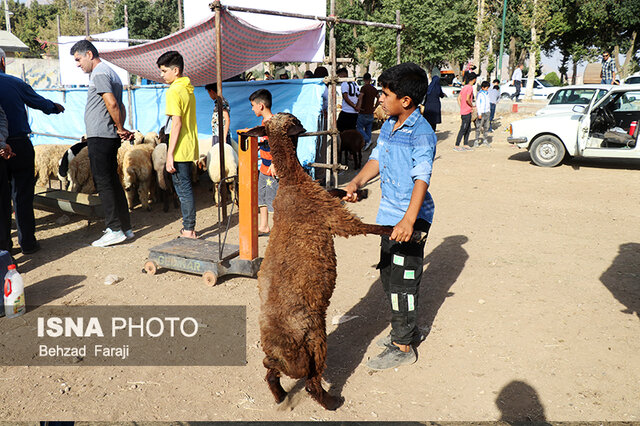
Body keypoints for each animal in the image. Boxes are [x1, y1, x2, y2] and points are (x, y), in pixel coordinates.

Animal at [248, 112, 398, 410]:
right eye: (294, 120)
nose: (305, 126)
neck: (292, 182)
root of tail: (278, 352)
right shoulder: (334, 218)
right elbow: (364, 226)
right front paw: (393, 229)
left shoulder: (325, 198)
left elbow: (333, 189)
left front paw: (358, 192)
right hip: (315, 343)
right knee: (310, 382)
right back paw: (332, 402)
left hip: (287, 356)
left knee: (271, 374)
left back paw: (280, 395)